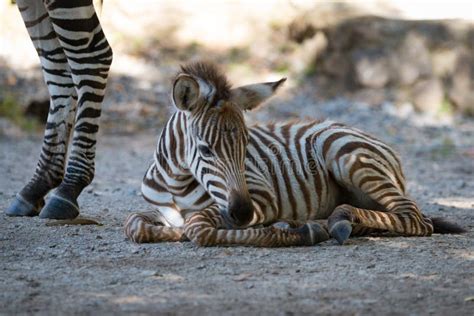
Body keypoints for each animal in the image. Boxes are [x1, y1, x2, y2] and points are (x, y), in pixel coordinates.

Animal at [124, 60, 464, 246]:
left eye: (246, 146)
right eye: (206, 149)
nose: (243, 214)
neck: (175, 185)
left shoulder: (262, 197)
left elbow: (198, 228)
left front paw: (293, 233)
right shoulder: (160, 211)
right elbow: (135, 225)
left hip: (346, 155)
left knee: (415, 217)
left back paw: (336, 221)